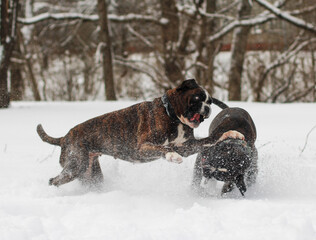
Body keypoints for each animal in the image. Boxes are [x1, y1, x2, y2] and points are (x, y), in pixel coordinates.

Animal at [37, 79, 236, 187]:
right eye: (197, 99)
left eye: (209, 101)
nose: (208, 108)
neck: (172, 115)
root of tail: (64, 138)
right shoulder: (143, 147)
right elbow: (163, 149)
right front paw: (172, 156)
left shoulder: (186, 147)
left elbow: (208, 139)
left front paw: (229, 134)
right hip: (75, 167)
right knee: (53, 181)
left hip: (90, 172)